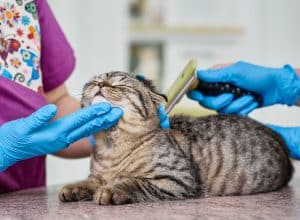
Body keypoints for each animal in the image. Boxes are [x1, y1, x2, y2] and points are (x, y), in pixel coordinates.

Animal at [58, 71, 292, 205]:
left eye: (120, 86)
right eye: (94, 81)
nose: (100, 85)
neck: (111, 147)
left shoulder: (177, 179)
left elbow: (134, 182)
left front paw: (113, 189)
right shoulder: (98, 175)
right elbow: (90, 181)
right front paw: (74, 188)